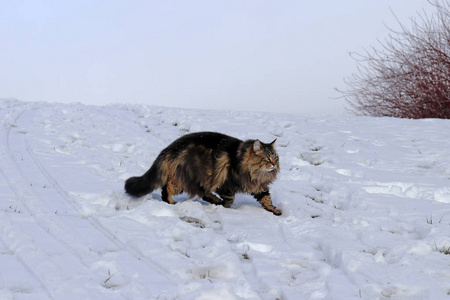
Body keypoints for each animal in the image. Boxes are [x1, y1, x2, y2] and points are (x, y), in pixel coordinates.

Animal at [125, 131, 284, 216]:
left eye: (276, 157)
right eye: (267, 158)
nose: (274, 164)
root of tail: (169, 149)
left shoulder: (258, 186)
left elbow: (266, 198)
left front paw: (274, 210)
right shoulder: (226, 184)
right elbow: (230, 199)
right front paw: (224, 207)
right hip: (189, 178)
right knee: (168, 189)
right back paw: (171, 202)